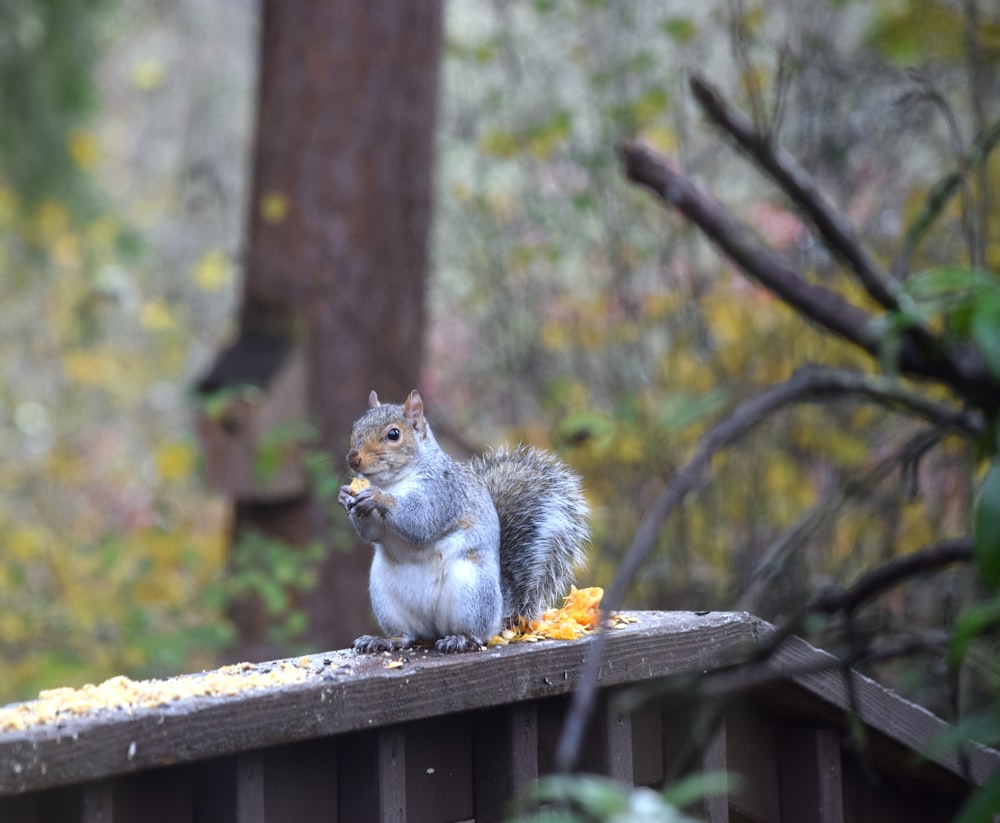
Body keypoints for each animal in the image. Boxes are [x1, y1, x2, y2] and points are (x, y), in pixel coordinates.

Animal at [338, 390, 584, 652]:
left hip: (470, 592)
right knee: (408, 634)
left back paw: (460, 639)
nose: (353, 459)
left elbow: (421, 521)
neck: (393, 482)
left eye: (393, 434)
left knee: (477, 633)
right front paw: (346, 496)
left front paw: (377, 497)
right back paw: (384, 640)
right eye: (355, 426)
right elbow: (374, 533)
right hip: (386, 598)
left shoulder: (444, 491)